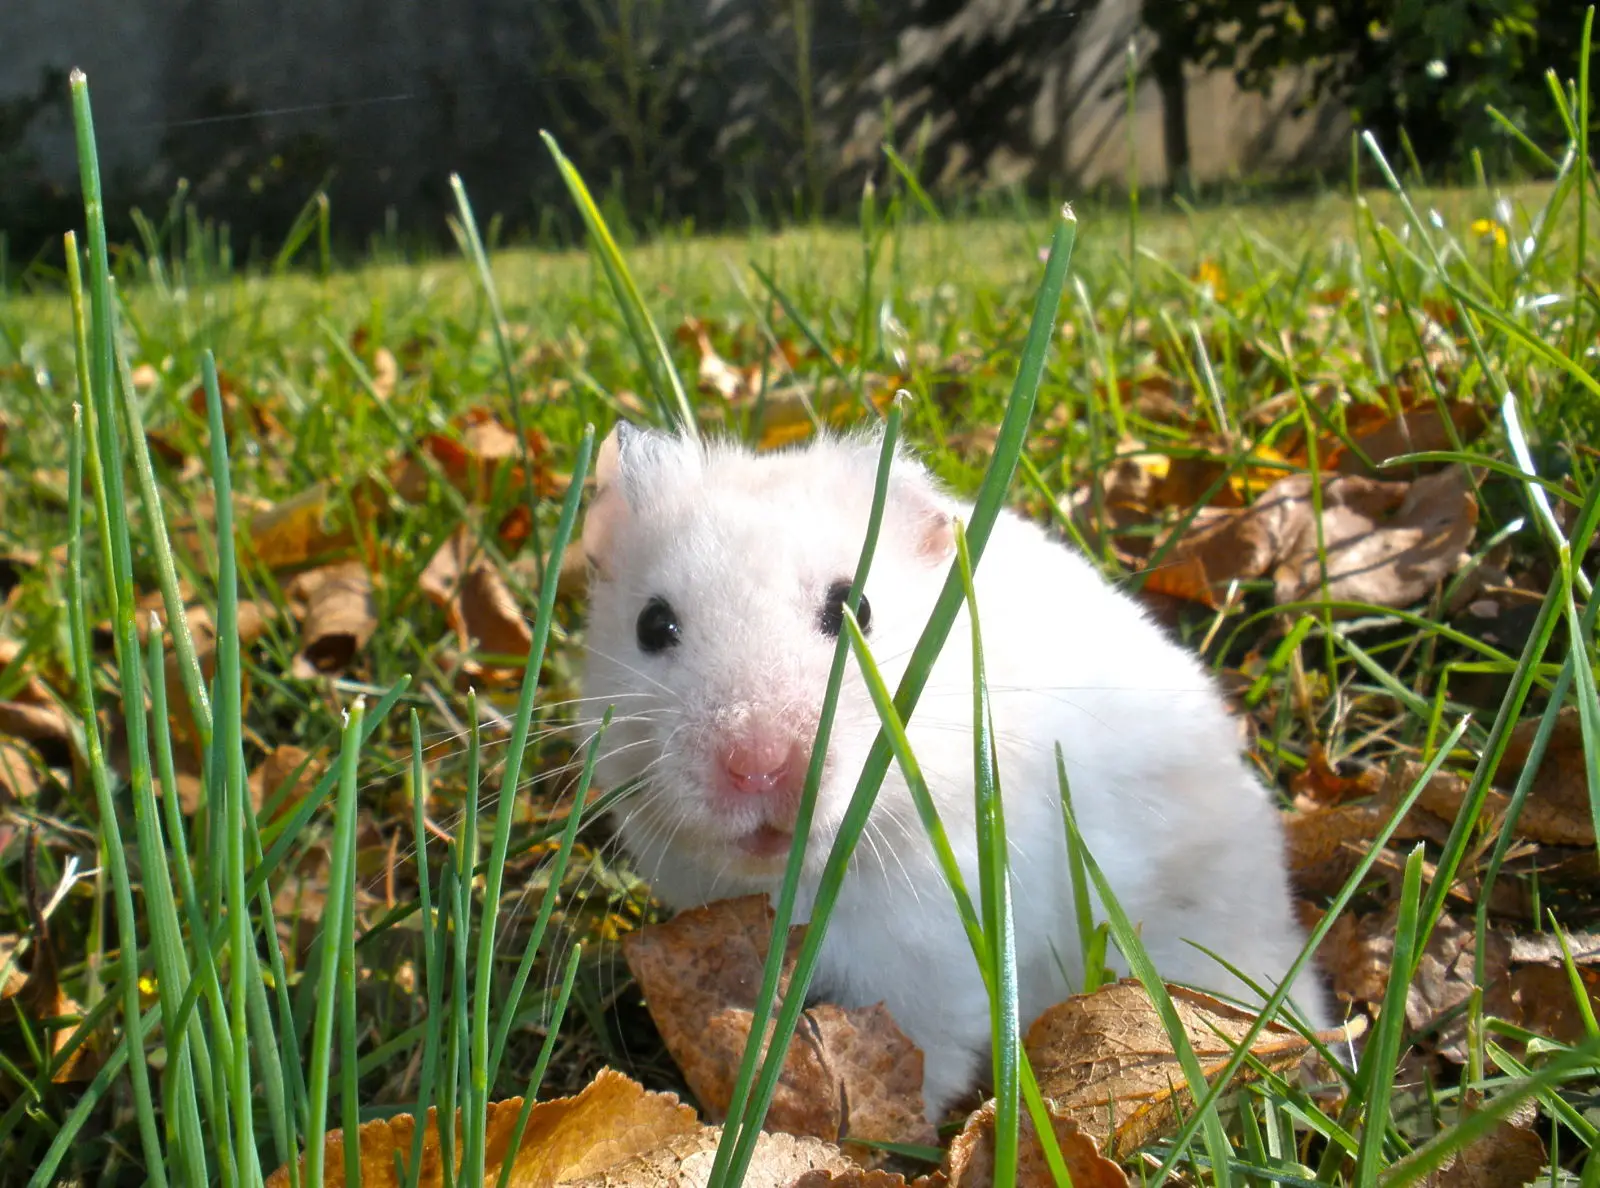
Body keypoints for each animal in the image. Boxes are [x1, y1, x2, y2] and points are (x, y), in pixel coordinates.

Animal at [579, 421, 1330, 1119]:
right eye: (653, 626)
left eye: (855, 608)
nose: (757, 766)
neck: (807, 876)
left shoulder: (933, 962)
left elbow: (928, 1059)